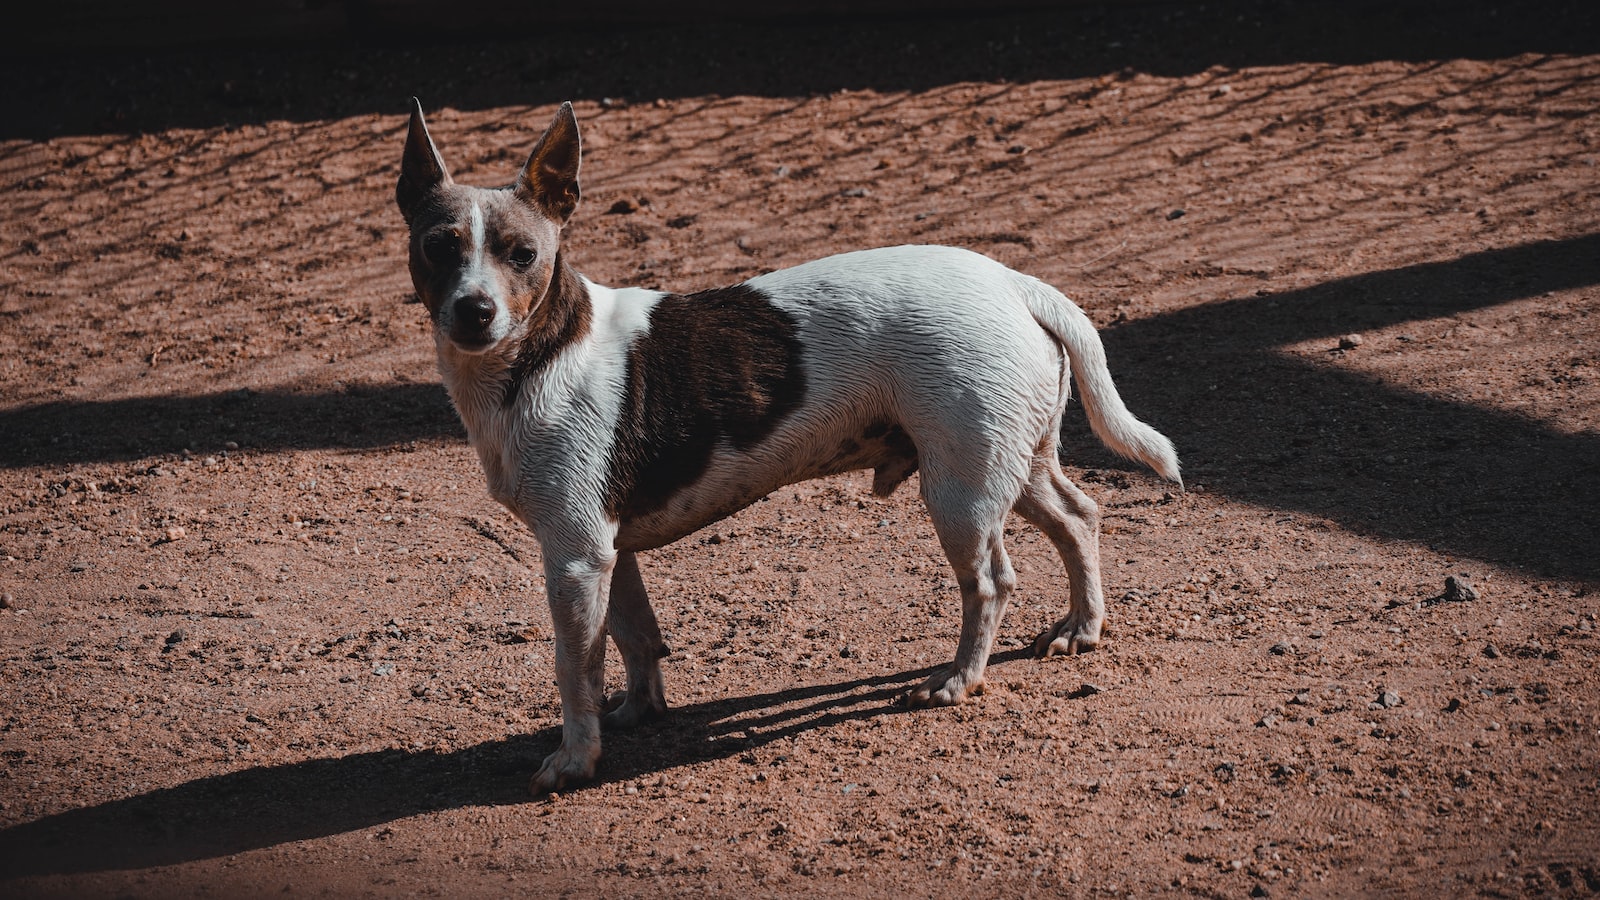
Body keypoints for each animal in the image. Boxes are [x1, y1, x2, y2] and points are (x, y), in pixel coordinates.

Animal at [395, 99, 1184, 791]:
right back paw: (1082, 627)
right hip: (1012, 465)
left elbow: (574, 668)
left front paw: (574, 759)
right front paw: (639, 712)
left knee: (991, 582)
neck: (542, 355)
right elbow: (633, 636)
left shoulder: (575, 556)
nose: (474, 310)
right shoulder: (608, 552)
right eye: (438, 248)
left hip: (961, 493)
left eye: (523, 254)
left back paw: (959, 680)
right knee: (1079, 517)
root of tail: (1018, 284)